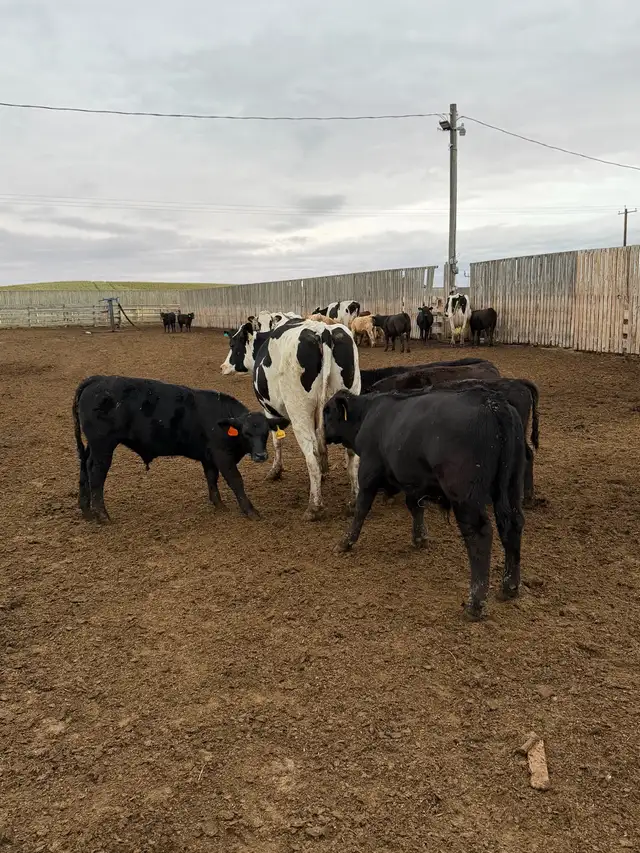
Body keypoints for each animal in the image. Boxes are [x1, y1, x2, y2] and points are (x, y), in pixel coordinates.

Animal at [72, 375, 278, 523]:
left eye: (266, 433)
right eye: (246, 433)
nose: (261, 455)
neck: (221, 420)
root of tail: (98, 379)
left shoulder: (208, 457)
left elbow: (212, 478)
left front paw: (219, 504)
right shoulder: (222, 456)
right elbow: (236, 481)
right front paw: (251, 511)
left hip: (93, 446)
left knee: (84, 467)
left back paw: (86, 511)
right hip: (103, 446)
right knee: (96, 473)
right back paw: (102, 515)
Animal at [252, 318, 361, 520]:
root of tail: (323, 330)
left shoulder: (270, 412)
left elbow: (277, 441)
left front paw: (275, 471)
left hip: (300, 414)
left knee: (312, 456)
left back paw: (314, 507)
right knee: (351, 455)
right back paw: (354, 502)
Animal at [323, 384, 526, 619]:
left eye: (327, 411)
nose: (321, 432)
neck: (368, 413)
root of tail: (491, 401)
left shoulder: (368, 472)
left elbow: (361, 509)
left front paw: (345, 542)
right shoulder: (413, 481)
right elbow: (415, 507)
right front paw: (420, 538)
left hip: (465, 496)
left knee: (480, 535)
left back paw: (475, 604)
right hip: (511, 486)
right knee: (512, 526)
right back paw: (510, 586)